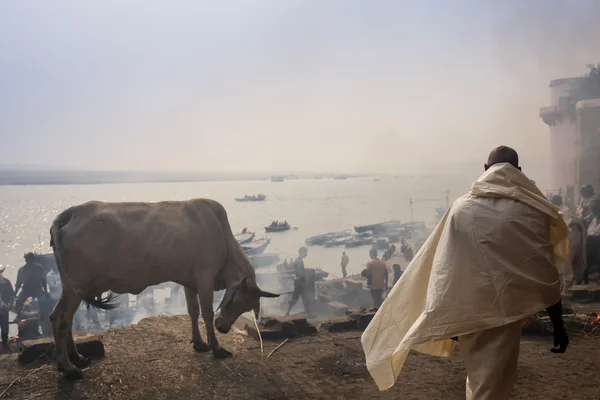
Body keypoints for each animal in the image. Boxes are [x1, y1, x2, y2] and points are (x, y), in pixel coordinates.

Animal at [48, 198, 278, 380]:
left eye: (246, 308)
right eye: (234, 301)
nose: (224, 328)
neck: (223, 238)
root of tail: (70, 212)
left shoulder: (190, 281)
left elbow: (193, 311)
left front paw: (199, 343)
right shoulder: (205, 278)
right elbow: (207, 313)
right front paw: (217, 348)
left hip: (71, 286)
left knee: (62, 318)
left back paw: (76, 358)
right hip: (77, 285)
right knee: (61, 318)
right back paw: (69, 367)